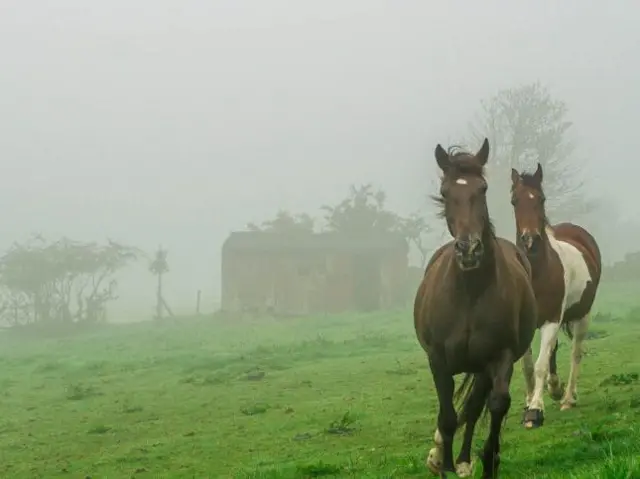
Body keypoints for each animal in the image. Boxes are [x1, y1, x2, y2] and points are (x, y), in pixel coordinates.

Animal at [416, 138, 540, 476]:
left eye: (482, 189)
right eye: (446, 192)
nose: (469, 249)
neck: (469, 293)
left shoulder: (500, 358)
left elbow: (495, 405)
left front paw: (487, 462)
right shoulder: (438, 359)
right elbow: (447, 416)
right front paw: (442, 463)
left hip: (482, 368)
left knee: (473, 408)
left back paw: (465, 460)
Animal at [510, 163, 600, 430]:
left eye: (541, 199)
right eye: (514, 201)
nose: (530, 240)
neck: (537, 273)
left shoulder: (551, 319)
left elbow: (539, 365)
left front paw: (535, 411)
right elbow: (528, 366)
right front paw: (530, 400)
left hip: (582, 316)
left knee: (575, 353)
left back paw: (568, 397)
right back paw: (556, 388)